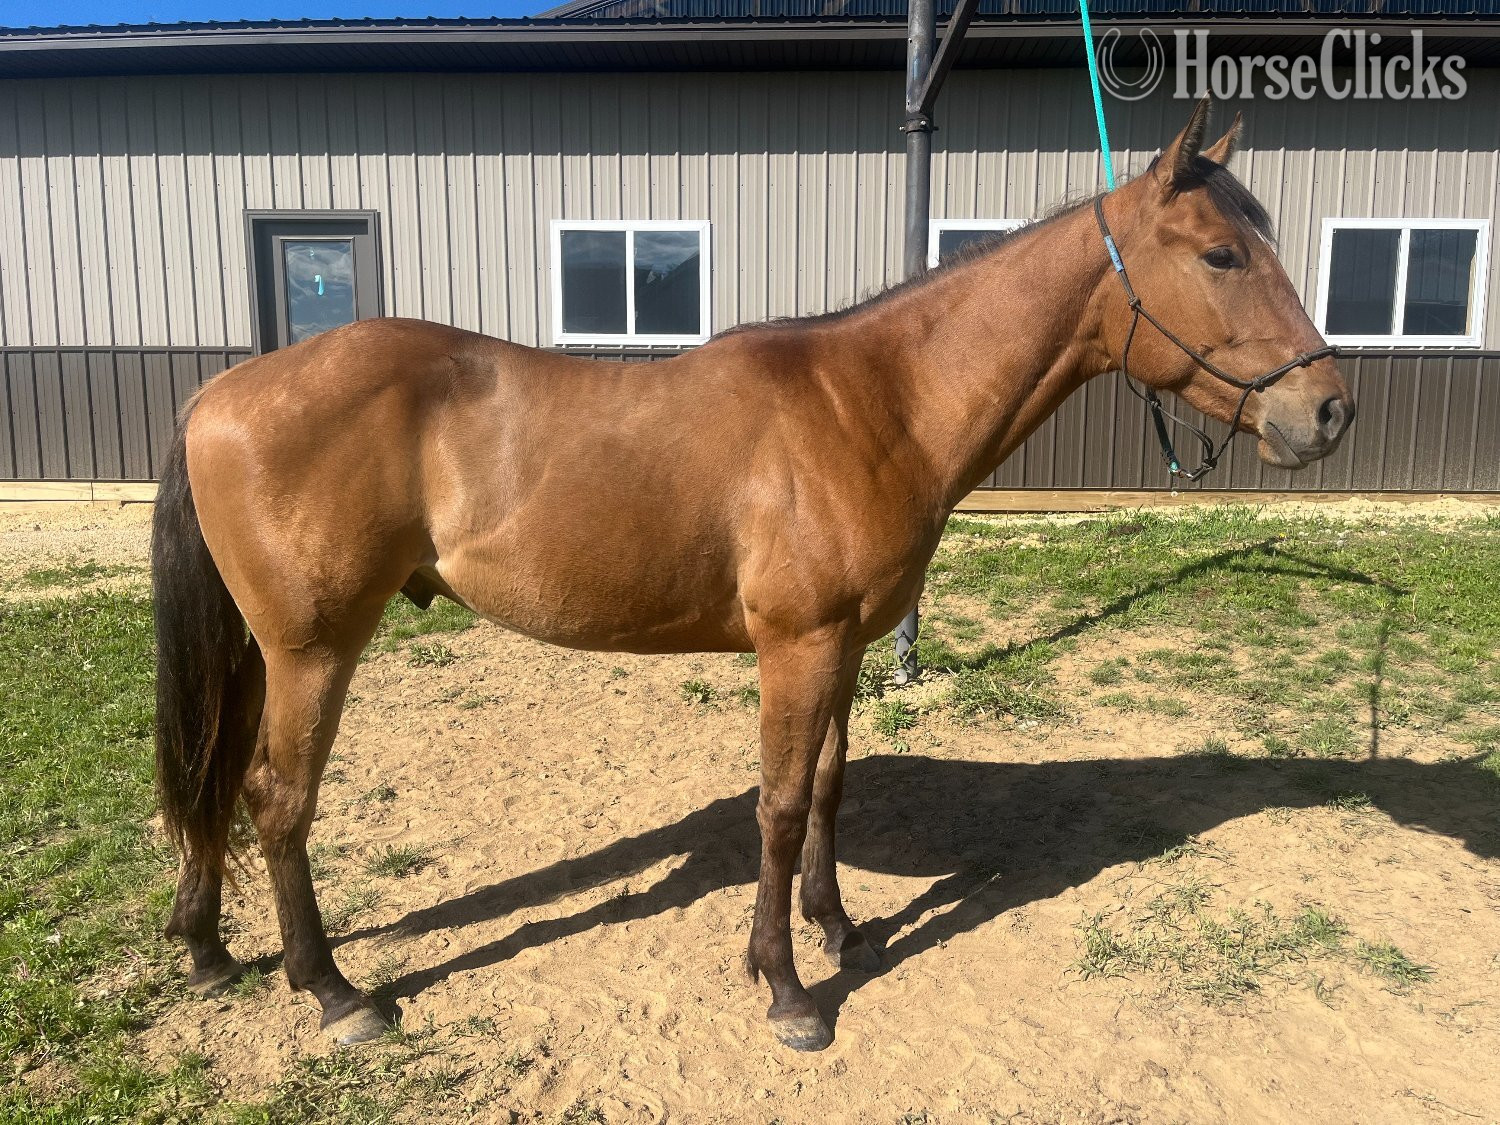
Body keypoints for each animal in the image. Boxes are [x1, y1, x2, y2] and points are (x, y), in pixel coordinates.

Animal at [151, 99, 1353, 1053]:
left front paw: (839, 926)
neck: (876, 403)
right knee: (278, 799)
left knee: (218, 776)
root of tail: (221, 394)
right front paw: (786, 986)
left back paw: (208, 949)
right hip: (313, 650)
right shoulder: (797, 645)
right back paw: (333, 992)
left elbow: (825, 788)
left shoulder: (846, 645)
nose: (1328, 411)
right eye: (1220, 255)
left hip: (260, 652)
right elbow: (776, 806)